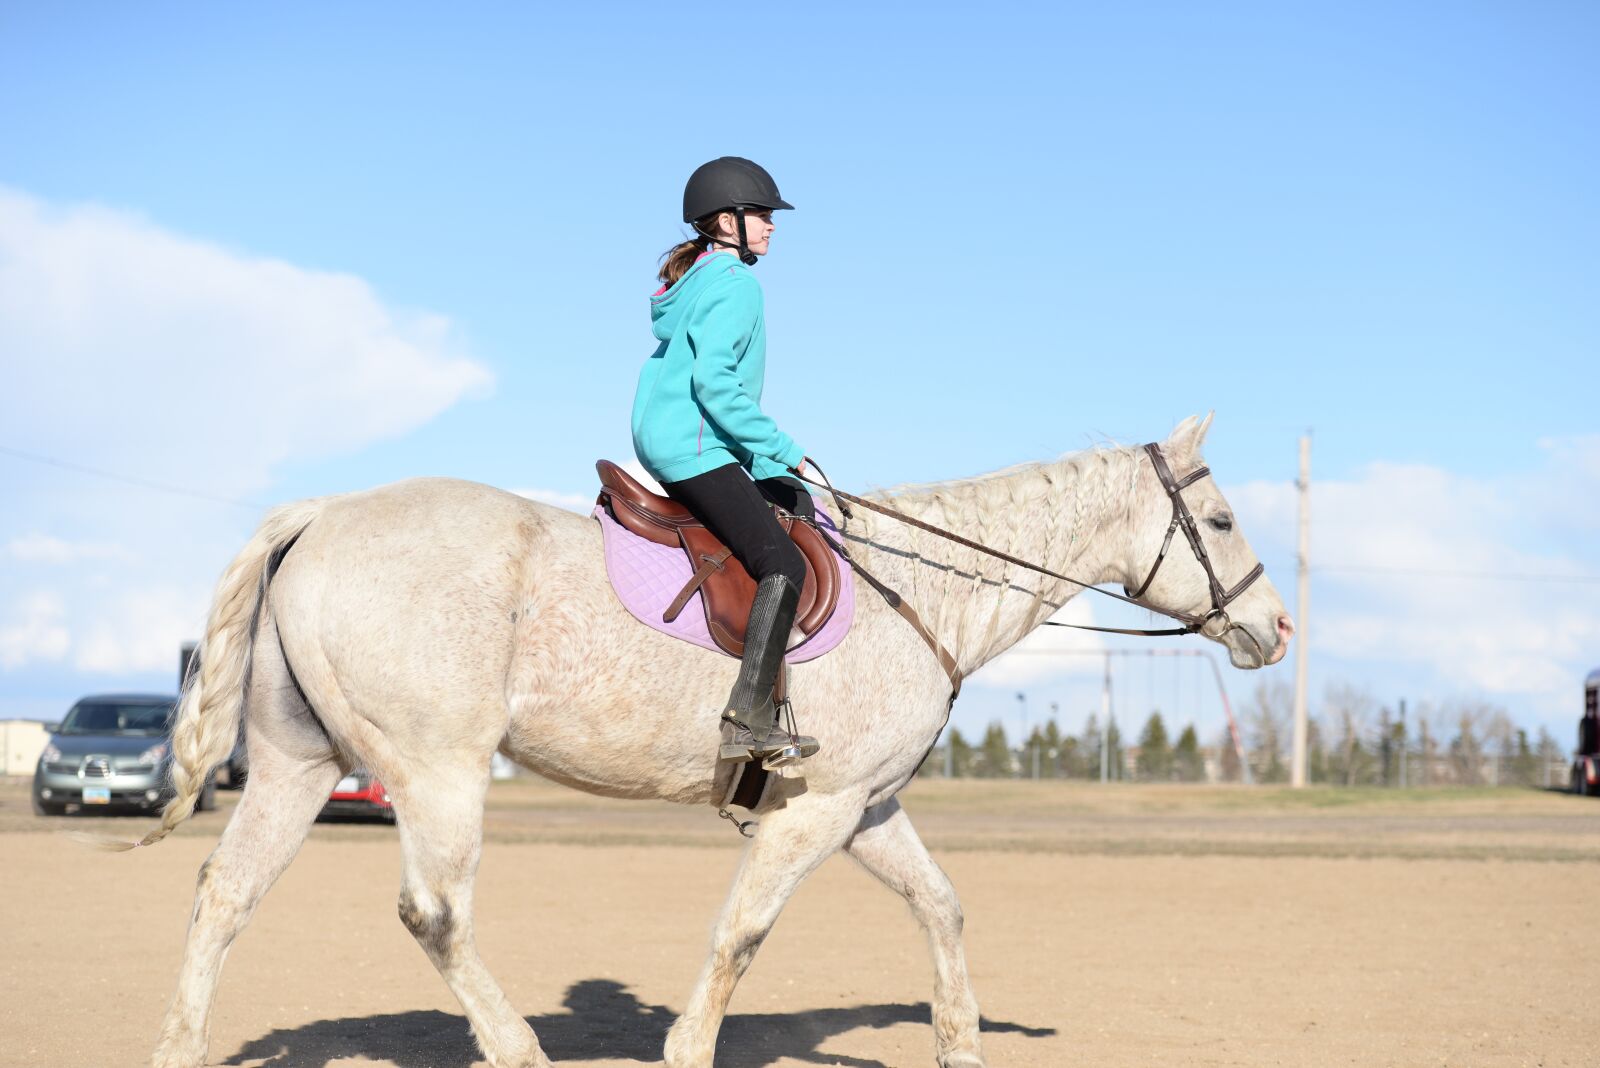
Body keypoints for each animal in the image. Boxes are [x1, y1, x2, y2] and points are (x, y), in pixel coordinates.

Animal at [129, 413, 1291, 1068]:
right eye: (1223, 522)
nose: (1278, 630)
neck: (917, 592)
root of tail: (324, 513)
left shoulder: (864, 808)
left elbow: (942, 907)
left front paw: (961, 1043)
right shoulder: (815, 813)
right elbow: (741, 936)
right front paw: (687, 1048)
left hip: (300, 767)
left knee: (225, 893)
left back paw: (180, 1049)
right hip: (435, 768)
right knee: (436, 915)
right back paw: (518, 1050)